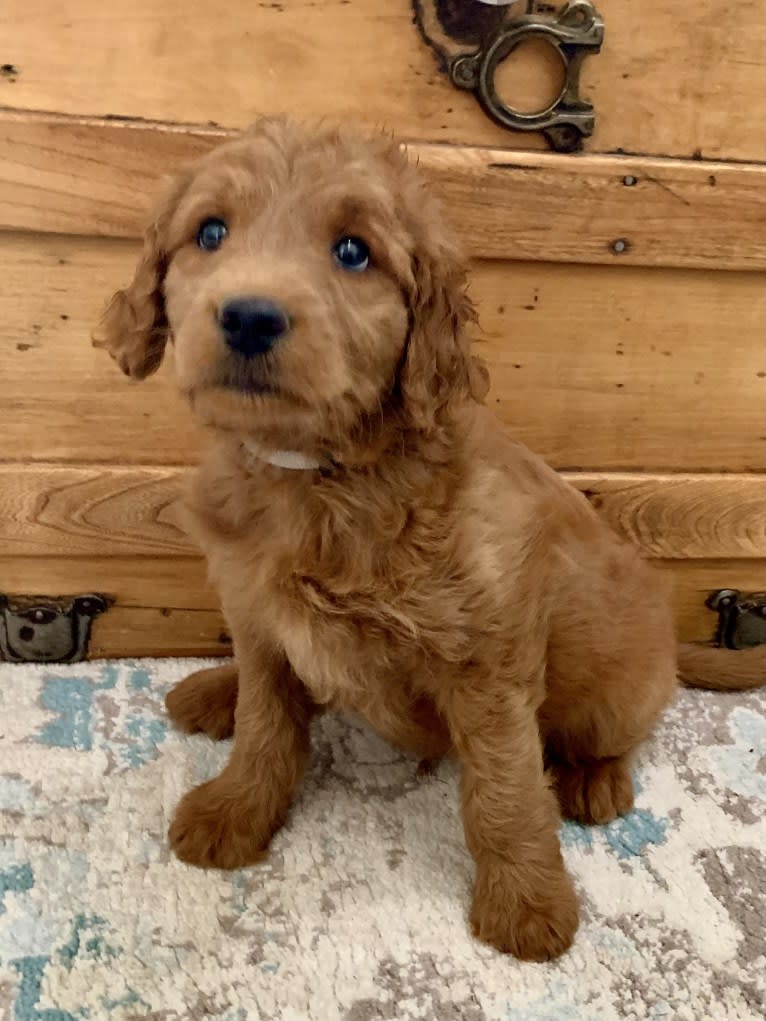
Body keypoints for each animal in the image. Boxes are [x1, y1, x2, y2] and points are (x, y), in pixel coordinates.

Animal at [100, 117, 763, 955]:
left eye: (354, 252)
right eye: (210, 232)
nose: (249, 316)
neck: (321, 474)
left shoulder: (489, 662)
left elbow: (505, 791)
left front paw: (526, 901)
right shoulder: (256, 613)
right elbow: (266, 723)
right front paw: (236, 808)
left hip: (617, 685)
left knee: (614, 730)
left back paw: (594, 778)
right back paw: (214, 689)